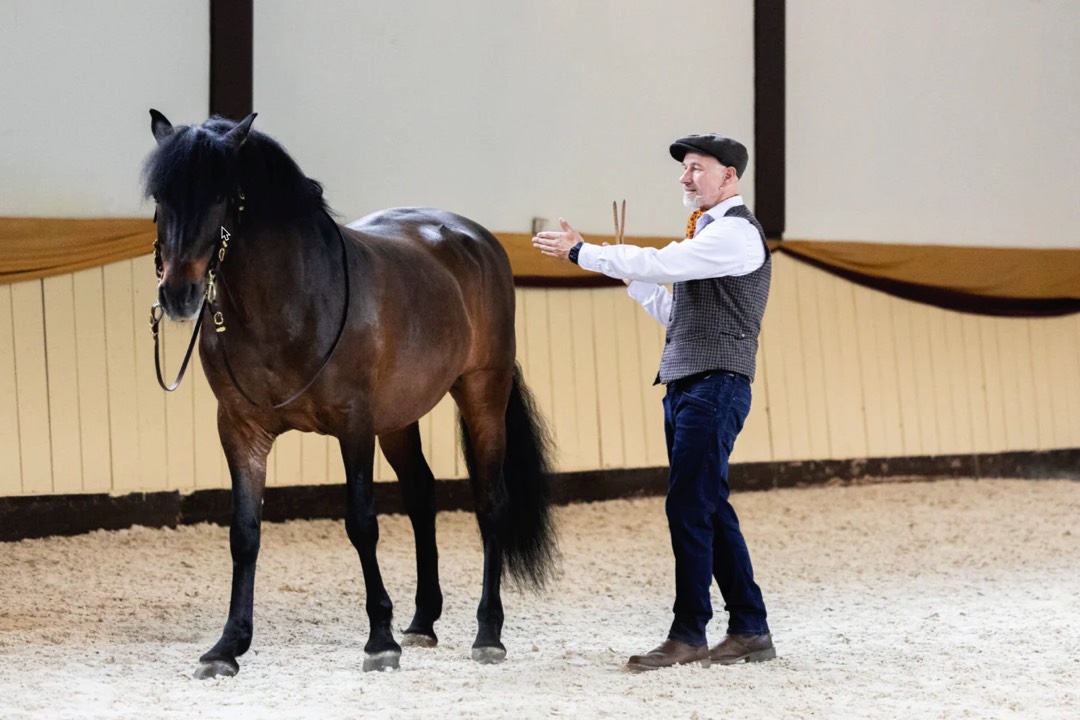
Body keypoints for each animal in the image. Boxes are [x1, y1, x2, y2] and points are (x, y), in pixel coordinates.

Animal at [142, 110, 557, 679]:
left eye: (224, 195)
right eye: (160, 197)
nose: (179, 295)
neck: (291, 303)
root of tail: (476, 239)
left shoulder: (353, 424)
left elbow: (362, 523)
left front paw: (380, 639)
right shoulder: (240, 430)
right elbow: (244, 534)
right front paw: (227, 647)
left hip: (482, 393)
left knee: (491, 503)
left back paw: (488, 632)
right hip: (400, 417)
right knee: (421, 495)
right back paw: (422, 622)